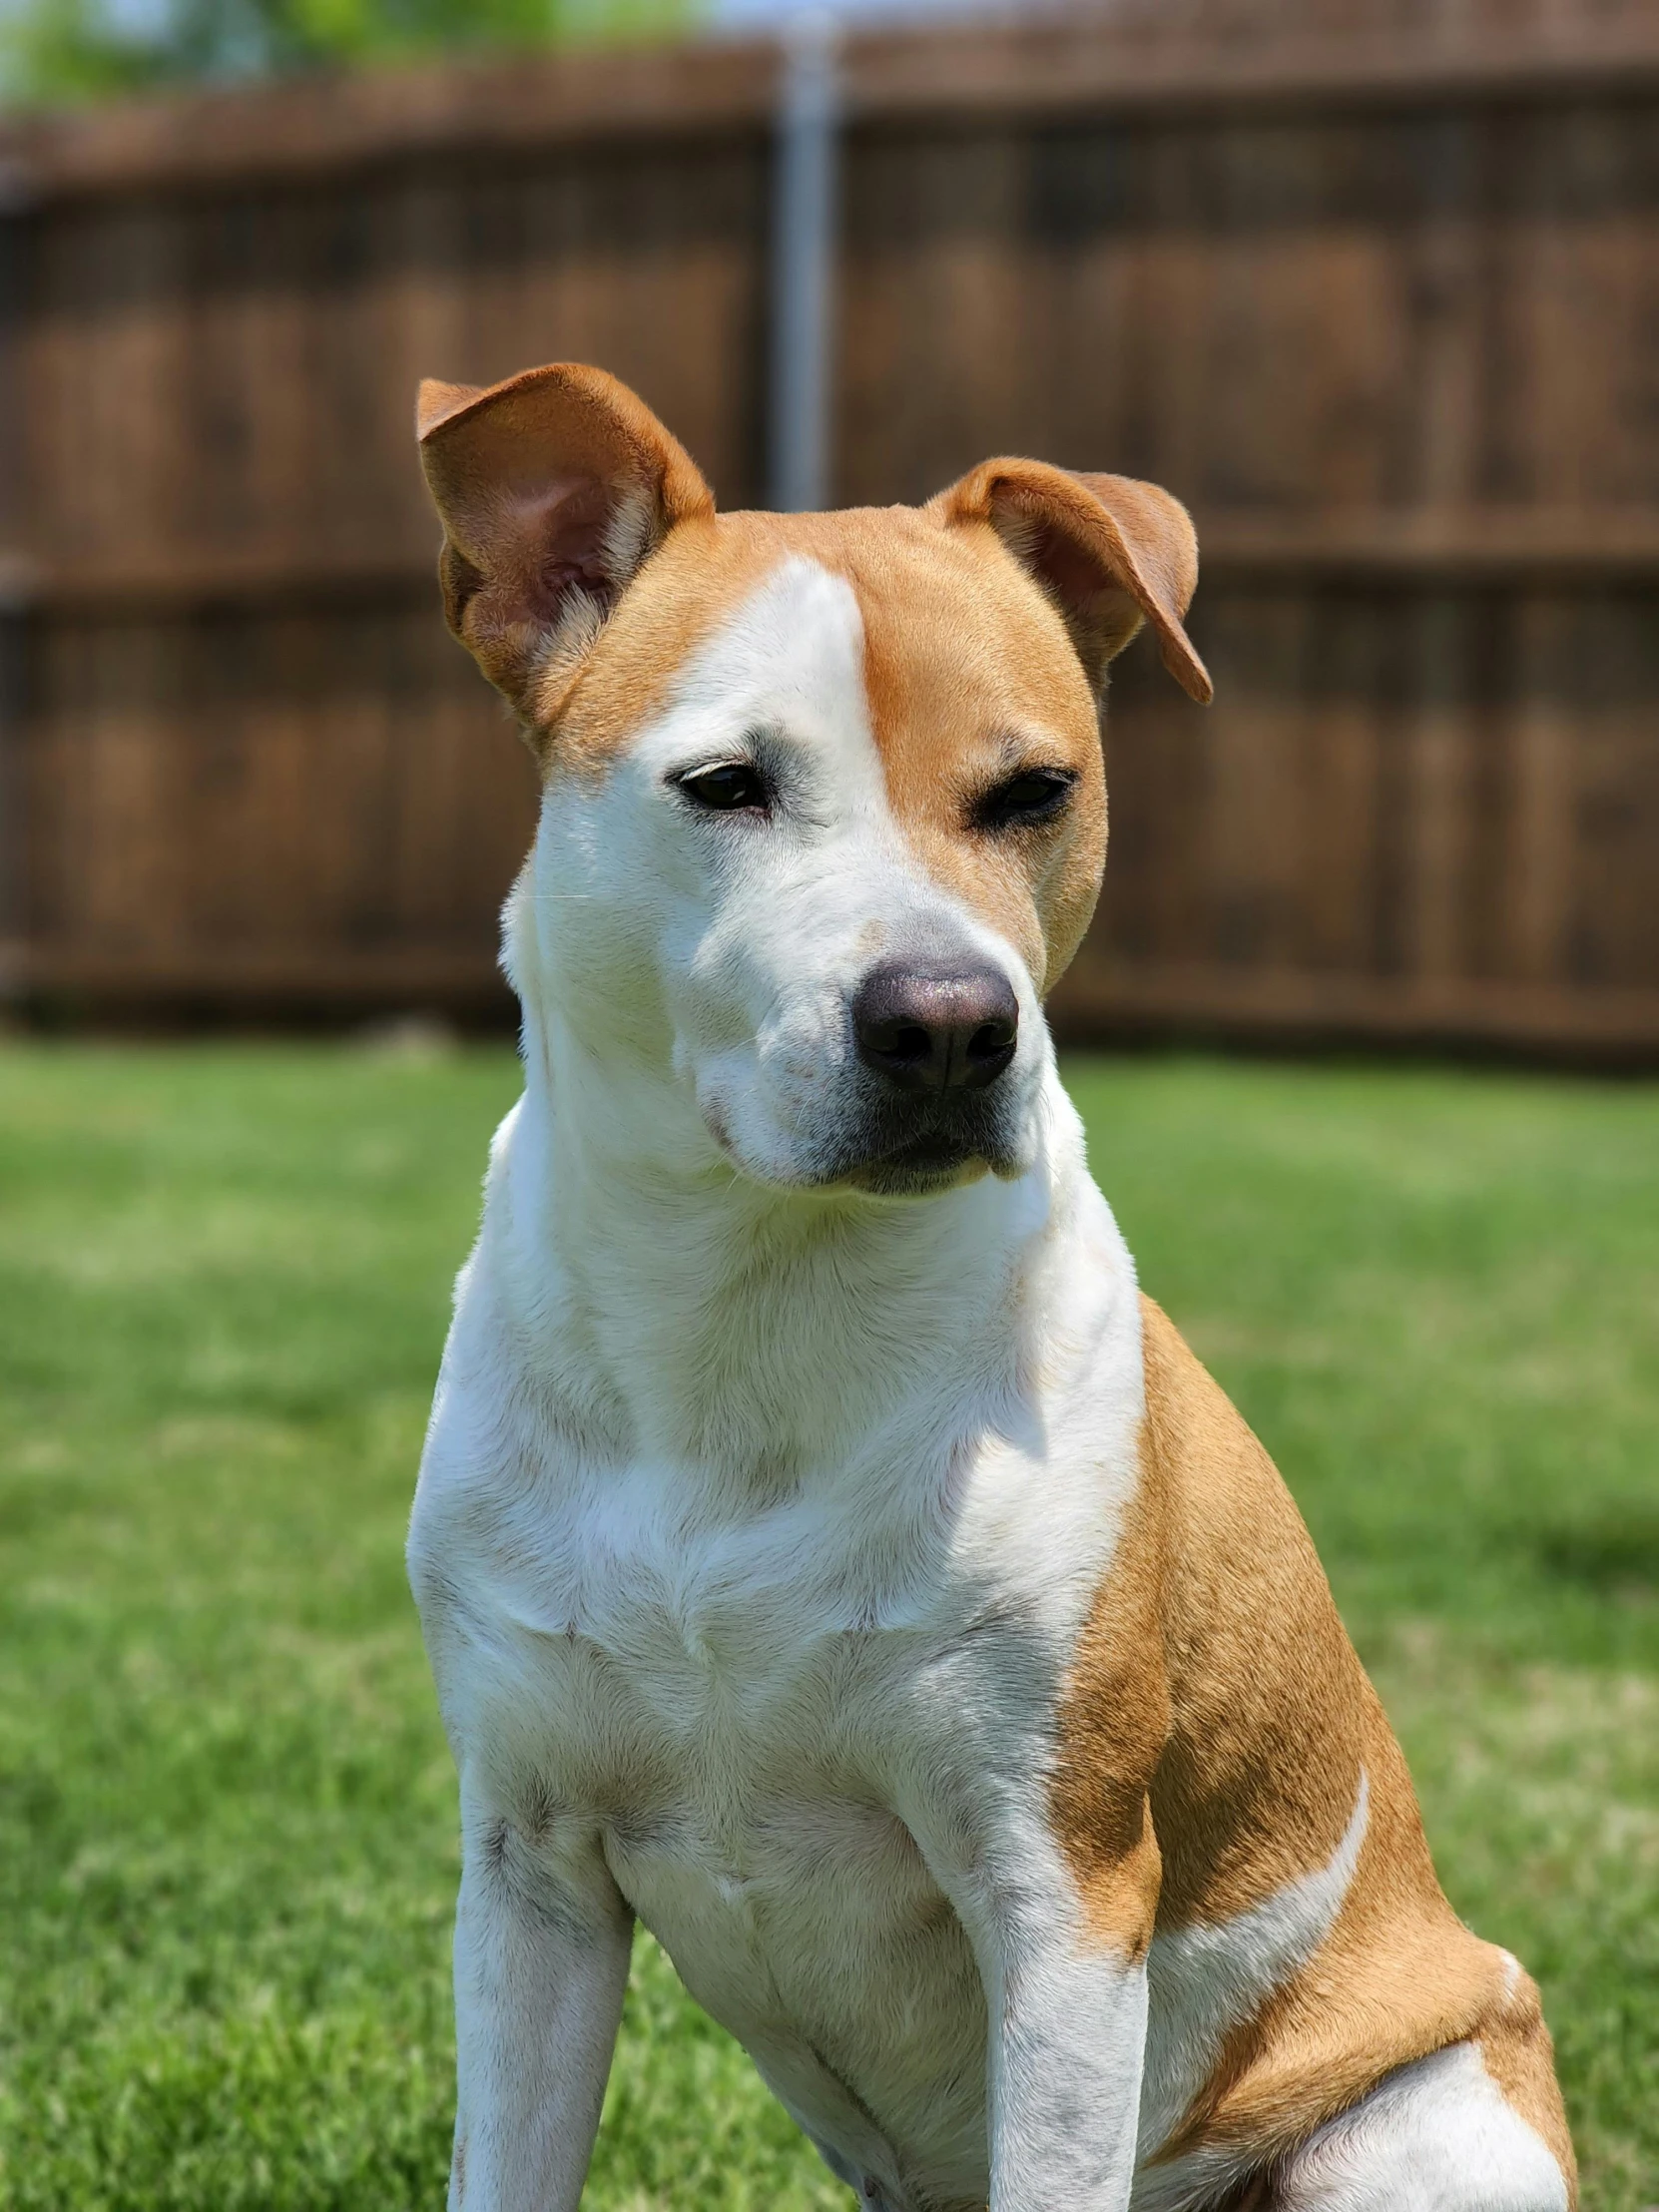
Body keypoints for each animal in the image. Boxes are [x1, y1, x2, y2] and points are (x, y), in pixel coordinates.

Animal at [408, 362, 1574, 2212]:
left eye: (1034, 790)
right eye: (724, 784)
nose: (949, 1023)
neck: (751, 1306)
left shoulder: (1057, 1895)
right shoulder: (529, 1881)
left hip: (1413, 2129)